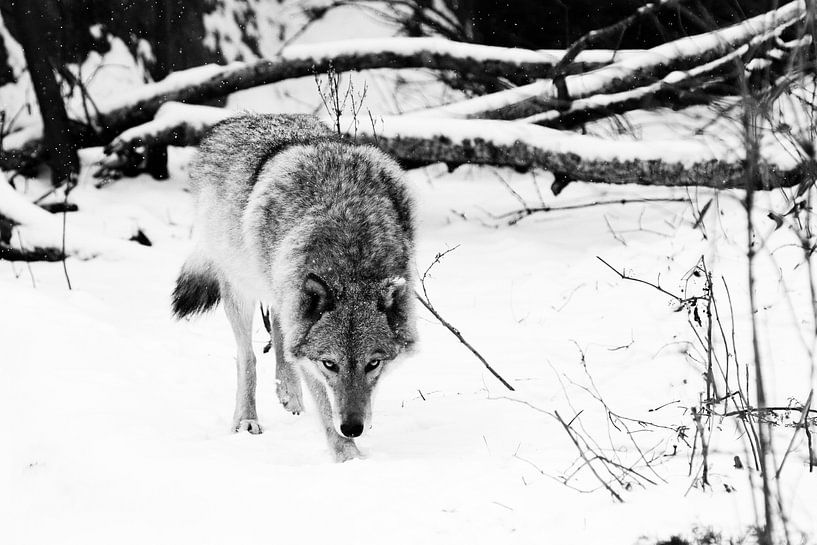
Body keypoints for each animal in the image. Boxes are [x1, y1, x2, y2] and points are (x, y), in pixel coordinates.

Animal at [171, 113, 414, 460]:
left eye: (373, 363)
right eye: (330, 364)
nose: (353, 428)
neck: (349, 245)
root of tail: (240, 118)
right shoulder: (311, 356)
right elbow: (325, 407)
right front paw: (349, 457)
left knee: (279, 330)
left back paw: (288, 393)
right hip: (241, 286)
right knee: (247, 356)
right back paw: (246, 419)